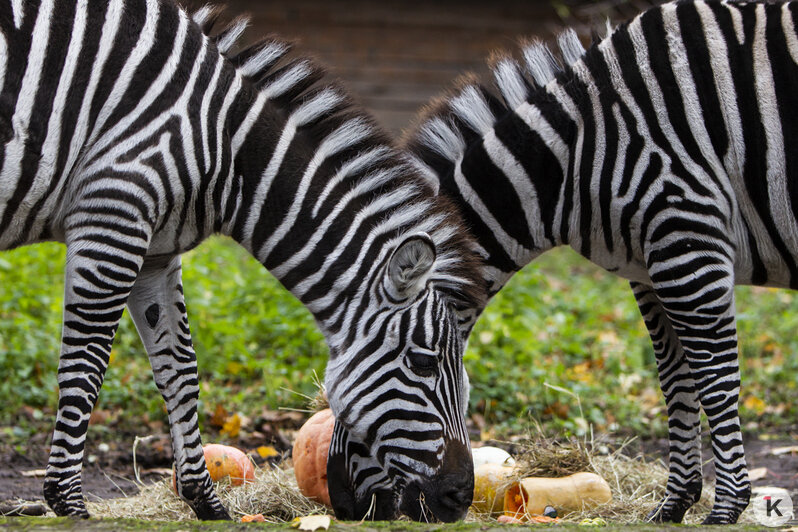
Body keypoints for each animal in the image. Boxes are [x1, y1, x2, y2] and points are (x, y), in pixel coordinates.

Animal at [1, 0, 488, 520]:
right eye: (421, 363)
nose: (460, 498)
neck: (226, 146)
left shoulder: (156, 251)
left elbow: (180, 368)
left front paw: (206, 501)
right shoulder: (113, 214)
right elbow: (86, 361)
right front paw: (67, 501)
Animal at [404, 0, 798, 524]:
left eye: (413, 363)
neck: (571, 157)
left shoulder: (687, 236)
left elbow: (714, 376)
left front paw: (727, 506)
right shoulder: (649, 267)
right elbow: (676, 379)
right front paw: (675, 503)